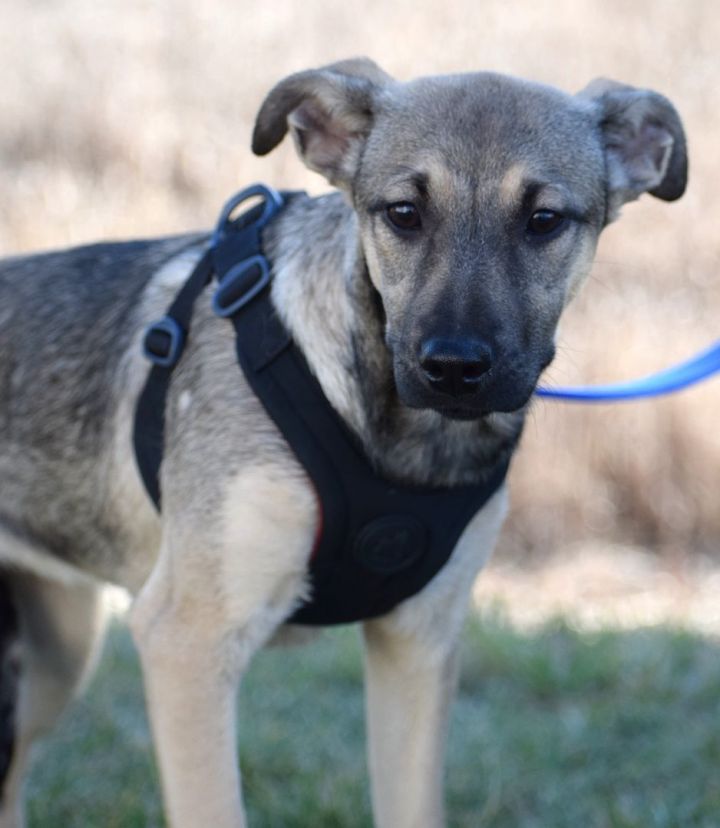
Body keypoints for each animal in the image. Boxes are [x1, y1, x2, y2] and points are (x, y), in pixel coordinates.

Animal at [0, 59, 688, 828]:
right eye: (404, 214)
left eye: (543, 221)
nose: (454, 368)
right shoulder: (187, 639)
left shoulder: (418, 644)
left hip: (59, 651)